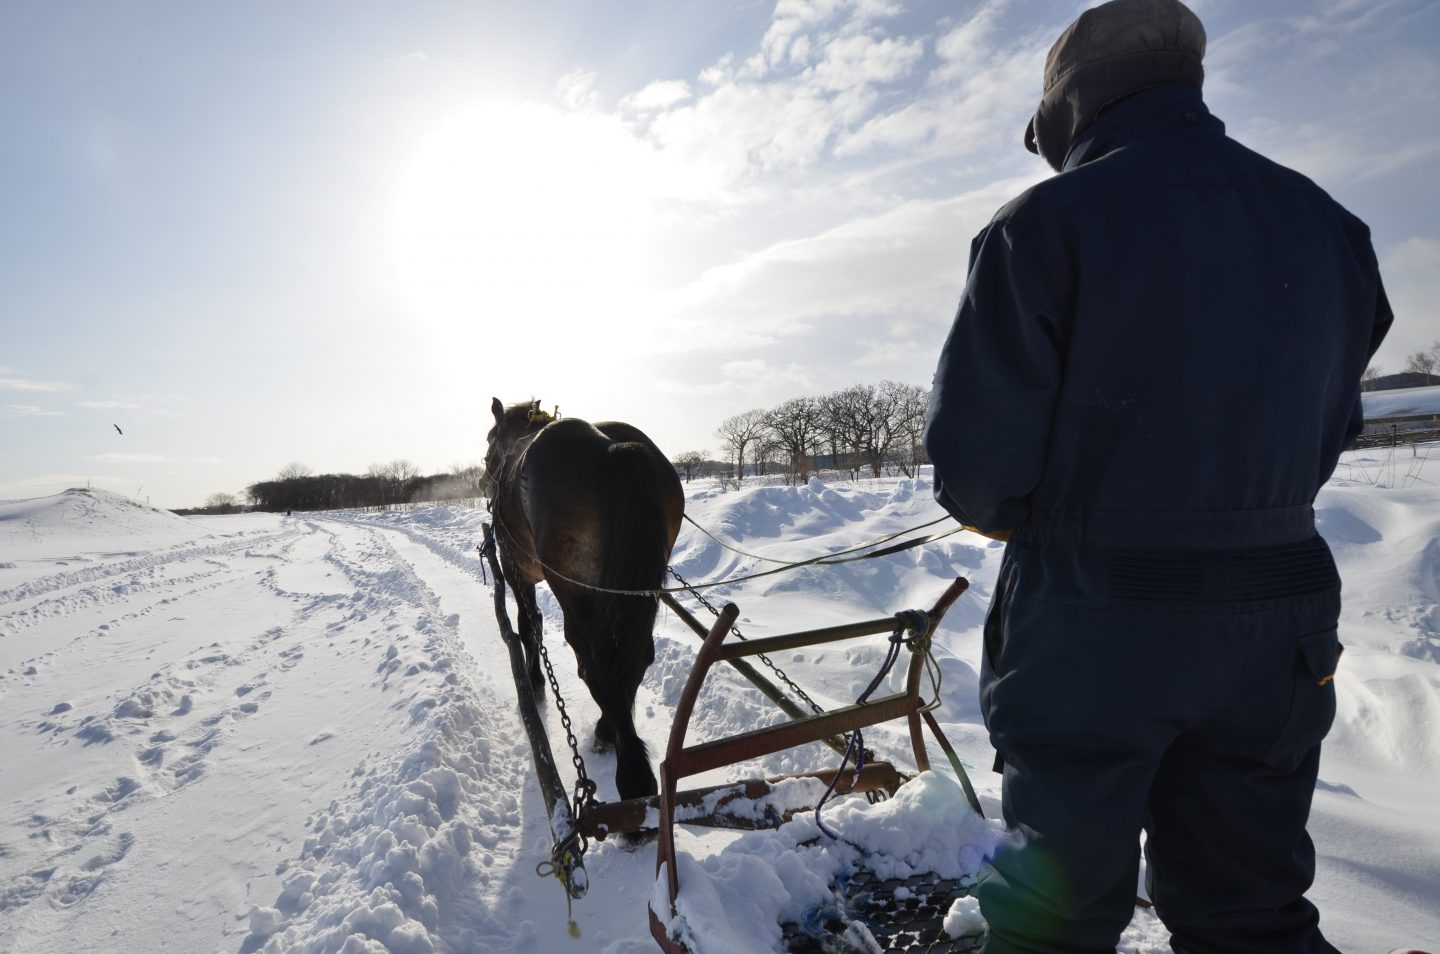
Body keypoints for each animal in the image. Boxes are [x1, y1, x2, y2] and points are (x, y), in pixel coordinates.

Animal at [483, 397, 685, 807]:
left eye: (489, 442)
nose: (484, 482)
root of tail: (614, 448)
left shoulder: (517, 574)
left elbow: (529, 624)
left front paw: (534, 684)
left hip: (574, 590)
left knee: (595, 664)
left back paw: (632, 775)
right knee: (631, 660)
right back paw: (609, 732)